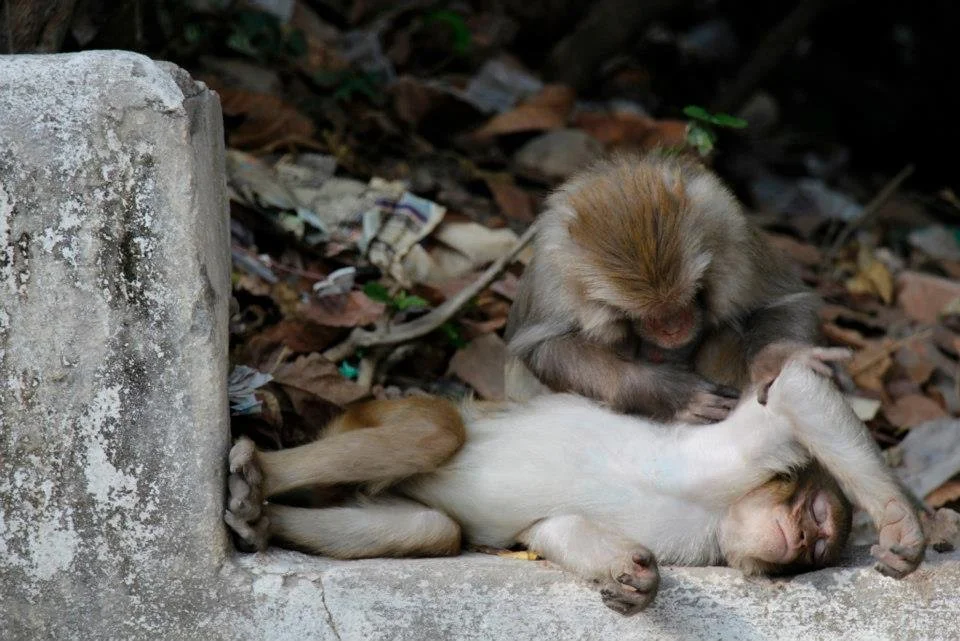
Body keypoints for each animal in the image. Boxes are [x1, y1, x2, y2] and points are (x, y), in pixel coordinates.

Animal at [224, 354, 926, 616]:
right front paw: (903, 526)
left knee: (431, 527)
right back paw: (260, 478)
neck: (718, 513)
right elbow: (792, 392)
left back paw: (267, 519)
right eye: (817, 521)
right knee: (434, 432)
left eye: (814, 552)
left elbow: (550, 528)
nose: (802, 541)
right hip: (370, 412)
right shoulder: (729, 457)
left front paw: (631, 578)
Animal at [504, 151, 831, 422]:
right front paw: (671, 393)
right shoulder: (551, 282)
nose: (673, 329)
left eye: (688, 295)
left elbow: (783, 301)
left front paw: (773, 360)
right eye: (643, 314)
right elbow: (544, 348)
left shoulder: (735, 240)